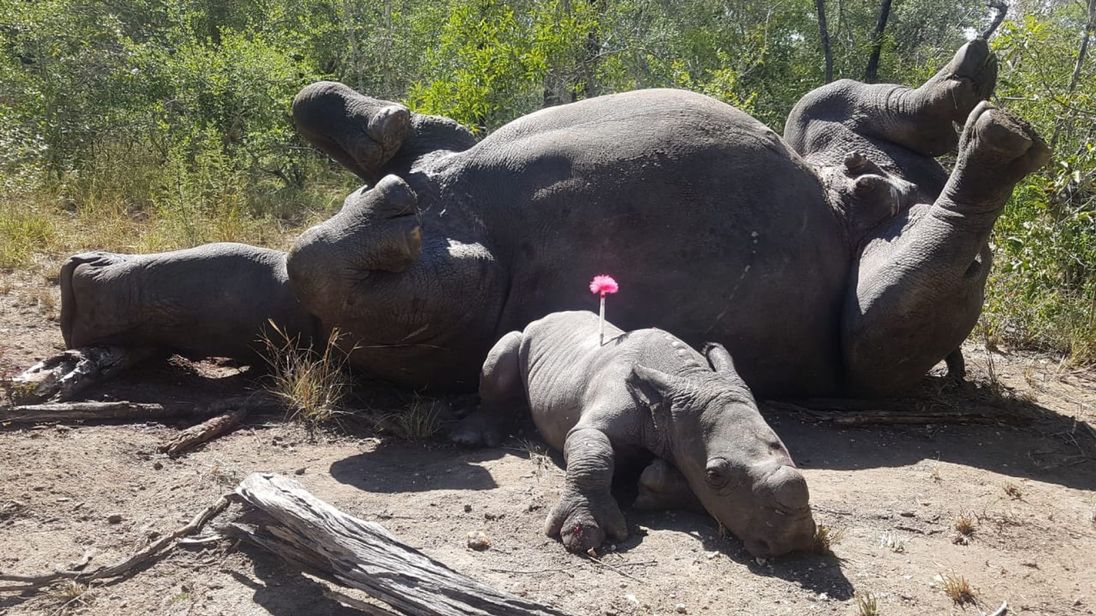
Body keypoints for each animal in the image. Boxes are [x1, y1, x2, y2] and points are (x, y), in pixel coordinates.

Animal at [449, 309, 819, 554]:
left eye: (785, 450)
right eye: (715, 475)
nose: (794, 542)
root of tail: (545, 316)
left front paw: (655, 485)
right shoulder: (597, 421)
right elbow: (594, 453)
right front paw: (583, 533)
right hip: (524, 336)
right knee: (504, 351)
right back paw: (470, 438)